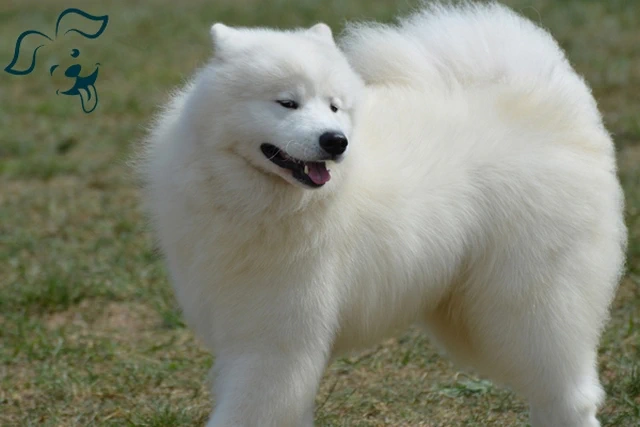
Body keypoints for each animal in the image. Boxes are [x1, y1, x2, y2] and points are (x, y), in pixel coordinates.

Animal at [139, 1, 624, 426]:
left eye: (334, 106)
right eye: (287, 103)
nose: (335, 140)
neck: (255, 200)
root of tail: (554, 104)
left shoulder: (274, 346)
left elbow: (244, 413)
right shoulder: (248, 333)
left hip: (528, 306)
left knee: (569, 394)